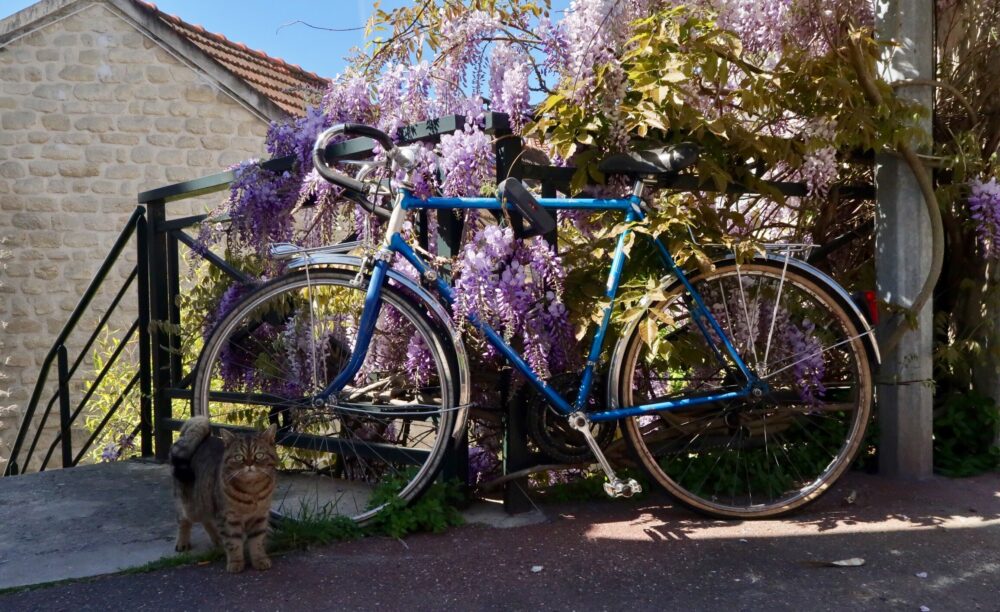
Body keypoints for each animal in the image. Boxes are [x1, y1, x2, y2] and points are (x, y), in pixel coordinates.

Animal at [168, 416, 278, 572]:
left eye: (259, 455)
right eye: (239, 457)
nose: (249, 464)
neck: (252, 490)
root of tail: (204, 439)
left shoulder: (260, 517)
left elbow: (257, 542)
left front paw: (260, 559)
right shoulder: (228, 518)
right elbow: (233, 543)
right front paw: (236, 562)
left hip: (207, 502)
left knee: (207, 520)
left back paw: (217, 539)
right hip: (191, 507)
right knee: (184, 520)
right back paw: (183, 542)